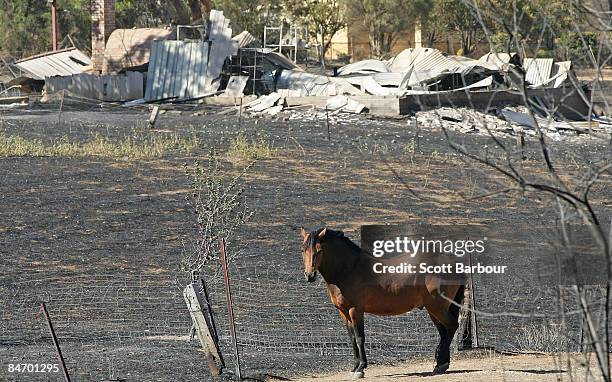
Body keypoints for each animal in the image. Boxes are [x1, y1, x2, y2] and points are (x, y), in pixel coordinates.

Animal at [300, 228, 464, 378]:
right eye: (303, 250)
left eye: (319, 250)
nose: (309, 275)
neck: (349, 269)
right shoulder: (343, 312)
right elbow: (352, 339)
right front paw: (354, 367)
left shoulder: (355, 310)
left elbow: (360, 338)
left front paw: (361, 368)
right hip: (433, 309)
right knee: (444, 332)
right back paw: (440, 364)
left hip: (437, 308)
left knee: (452, 326)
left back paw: (441, 364)